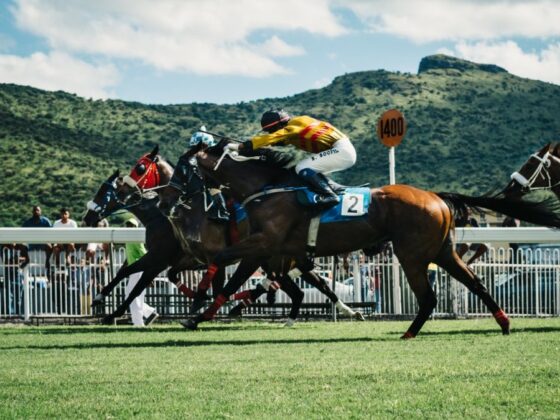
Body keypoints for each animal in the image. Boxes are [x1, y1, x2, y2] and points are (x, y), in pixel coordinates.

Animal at [182, 139, 560, 336]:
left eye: (186, 169)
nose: (181, 195)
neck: (268, 187)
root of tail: (436, 197)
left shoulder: (263, 246)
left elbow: (223, 266)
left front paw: (196, 308)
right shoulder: (270, 252)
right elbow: (236, 280)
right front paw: (200, 312)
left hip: (412, 254)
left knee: (429, 297)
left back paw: (409, 332)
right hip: (443, 252)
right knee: (475, 283)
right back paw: (504, 322)